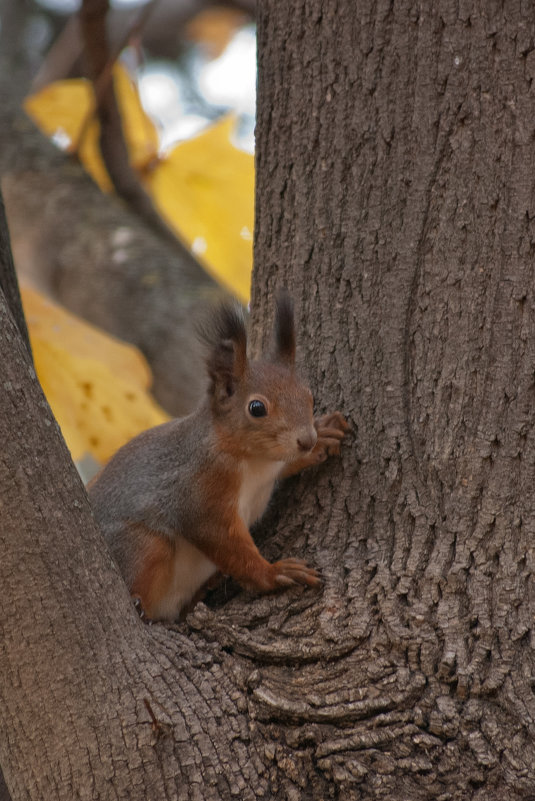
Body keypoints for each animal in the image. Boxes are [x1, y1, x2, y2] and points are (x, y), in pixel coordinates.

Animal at [89, 290, 348, 620]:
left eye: (309, 396)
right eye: (256, 408)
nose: (306, 440)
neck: (254, 461)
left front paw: (323, 437)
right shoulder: (200, 490)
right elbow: (222, 540)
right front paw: (274, 573)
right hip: (143, 545)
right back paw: (140, 604)